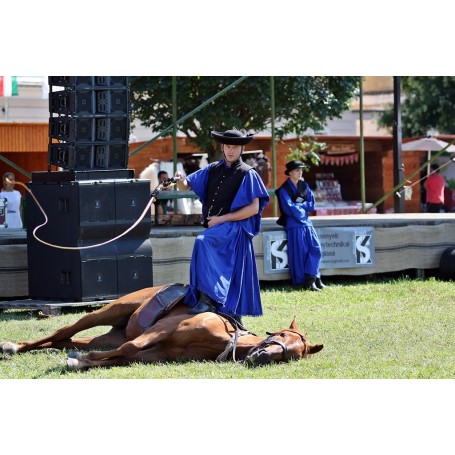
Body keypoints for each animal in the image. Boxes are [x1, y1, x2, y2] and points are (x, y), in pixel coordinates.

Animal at [0, 284, 324, 372]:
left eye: (292, 354)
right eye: (281, 335)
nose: (264, 356)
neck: (223, 338)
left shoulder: (154, 354)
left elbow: (121, 356)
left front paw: (82, 362)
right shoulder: (160, 331)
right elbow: (129, 348)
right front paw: (81, 362)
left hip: (108, 335)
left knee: (65, 340)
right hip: (109, 311)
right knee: (63, 331)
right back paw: (13, 346)